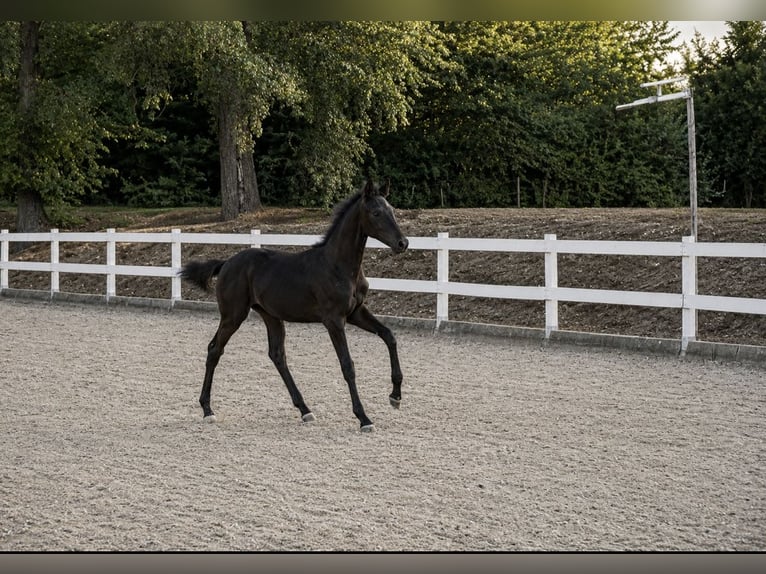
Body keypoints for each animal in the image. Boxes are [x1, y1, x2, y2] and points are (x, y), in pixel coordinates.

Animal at [179, 179, 409, 432]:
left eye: (392, 210)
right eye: (376, 213)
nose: (403, 243)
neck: (338, 266)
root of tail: (227, 262)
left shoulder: (356, 312)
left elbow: (389, 336)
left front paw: (395, 397)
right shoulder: (334, 320)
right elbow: (347, 365)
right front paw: (364, 418)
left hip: (270, 315)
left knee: (277, 355)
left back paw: (305, 410)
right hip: (233, 315)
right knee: (214, 349)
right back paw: (207, 410)